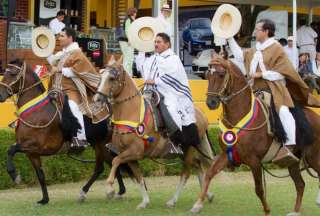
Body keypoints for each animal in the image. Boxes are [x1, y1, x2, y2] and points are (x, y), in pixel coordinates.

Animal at [0, 59, 131, 204]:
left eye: (12, 73)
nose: (0, 94)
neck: (36, 112)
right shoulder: (32, 153)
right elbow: (40, 175)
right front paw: (44, 199)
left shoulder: (37, 146)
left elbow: (11, 150)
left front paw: (14, 175)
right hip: (98, 144)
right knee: (106, 165)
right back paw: (115, 191)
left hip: (102, 143)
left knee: (108, 164)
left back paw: (97, 192)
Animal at [94, 62, 215, 209]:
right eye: (101, 77)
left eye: (111, 78)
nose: (97, 99)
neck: (131, 112)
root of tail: (201, 114)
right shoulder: (129, 155)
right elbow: (139, 177)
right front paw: (144, 202)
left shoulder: (135, 151)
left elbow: (115, 161)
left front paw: (110, 189)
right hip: (184, 152)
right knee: (197, 166)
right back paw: (207, 194)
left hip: (189, 149)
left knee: (186, 174)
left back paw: (173, 200)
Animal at [189, 56, 320, 215]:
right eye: (208, 74)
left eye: (221, 74)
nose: (211, 102)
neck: (239, 116)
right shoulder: (226, 155)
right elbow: (209, 174)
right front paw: (197, 204)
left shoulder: (254, 161)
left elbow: (259, 189)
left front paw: (267, 210)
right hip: (292, 161)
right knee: (300, 184)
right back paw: (295, 211)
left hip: (313, 156)